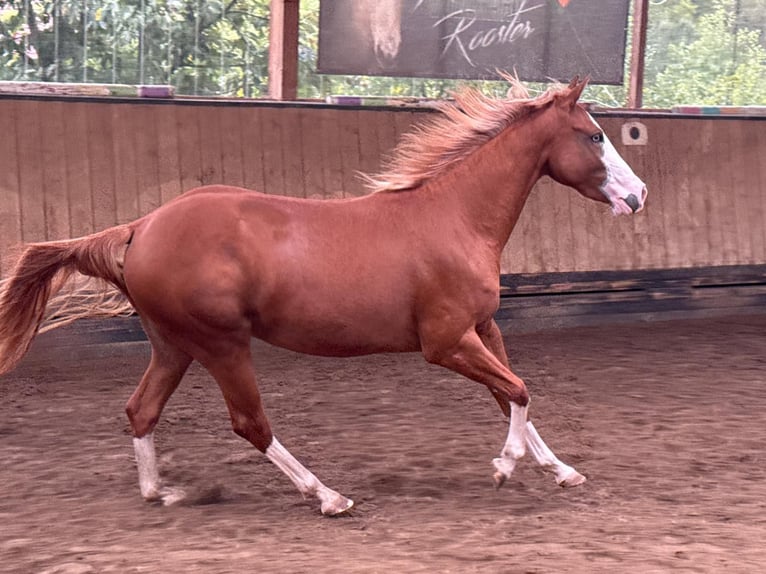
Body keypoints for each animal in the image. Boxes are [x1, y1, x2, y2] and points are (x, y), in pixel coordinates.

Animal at [0, 77, 647, 515]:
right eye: (593, 136)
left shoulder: (483, 329)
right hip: (221, 344)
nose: (639, 195)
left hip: (173, 345)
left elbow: (511, 396)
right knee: (250, 423)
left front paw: (561, 471)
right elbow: (518, 390)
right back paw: (328, 496)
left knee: (142, 410)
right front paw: (504, 469)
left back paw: (160, 491)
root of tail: (139, 227)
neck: (456, 219)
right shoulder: (444, 343)